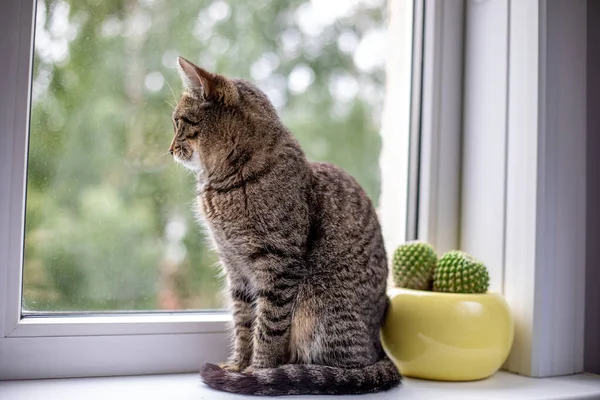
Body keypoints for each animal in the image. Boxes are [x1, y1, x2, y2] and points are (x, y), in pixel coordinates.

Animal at [169, 57, 400, 396]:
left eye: (178, 122)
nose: (170, 149)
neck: (224, 183)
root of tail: (379, 349)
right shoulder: (236, 269)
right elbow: (243, 323)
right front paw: (238, 366)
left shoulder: (279, 265)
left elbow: (267, 328)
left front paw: (257, 371)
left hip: (318, 308)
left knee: (345, 367)